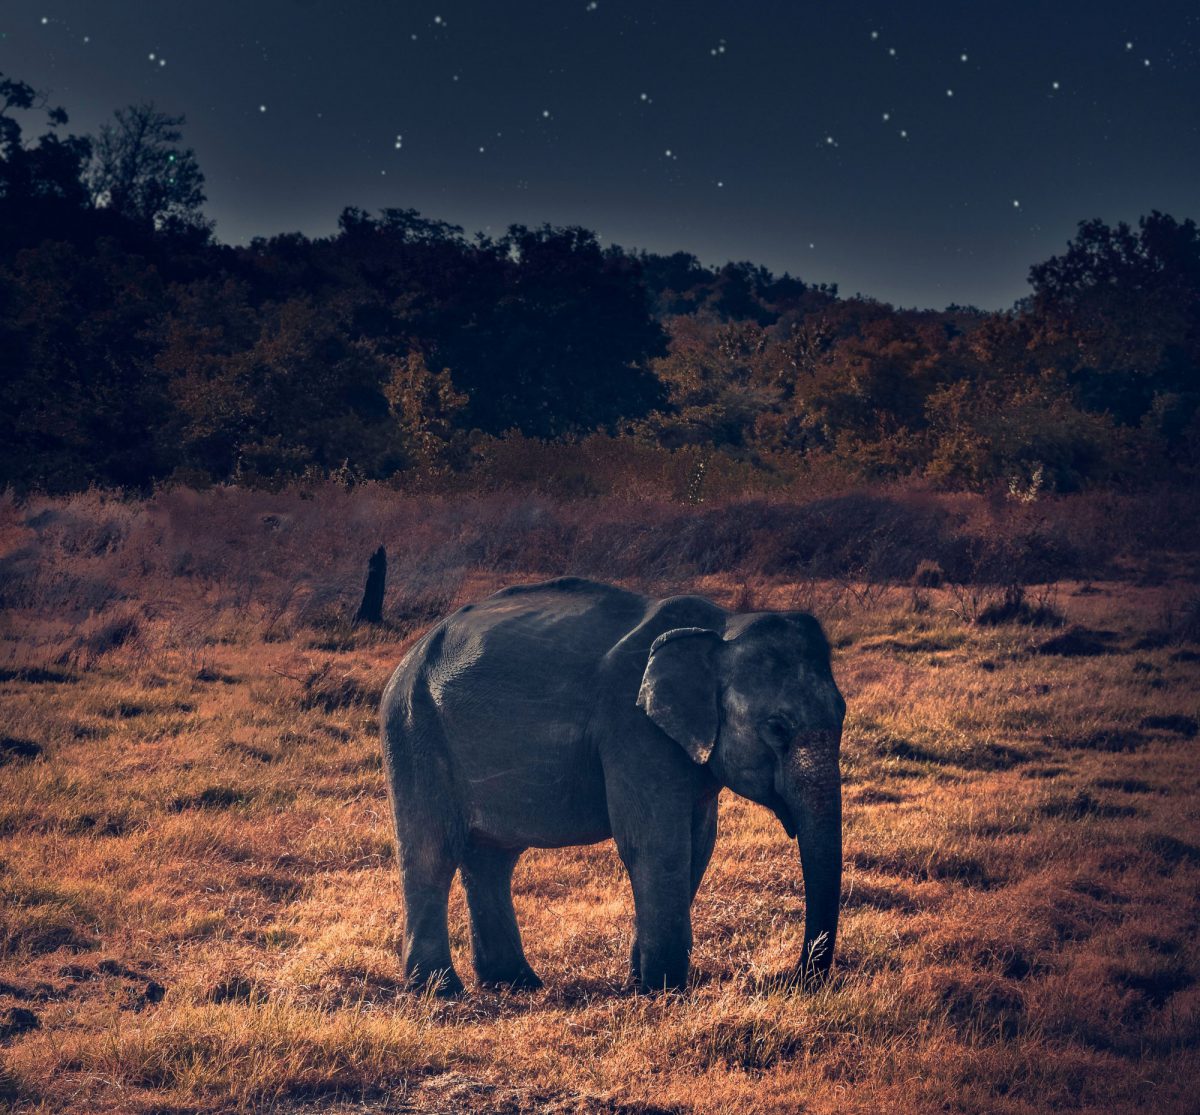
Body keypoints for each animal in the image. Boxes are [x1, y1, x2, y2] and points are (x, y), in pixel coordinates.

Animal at [380, 576, 845, 995]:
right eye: (777, 728)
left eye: (842, 714)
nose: (791, 979)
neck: (721, 627)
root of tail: (411, 656)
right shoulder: (632, 729)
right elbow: (656, 842)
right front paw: (663, 990)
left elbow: (698, 844)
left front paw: (642, 981)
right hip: (414, 730)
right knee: (432, 852)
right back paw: (441, 990)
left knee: (491, 857)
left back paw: (514, 983)